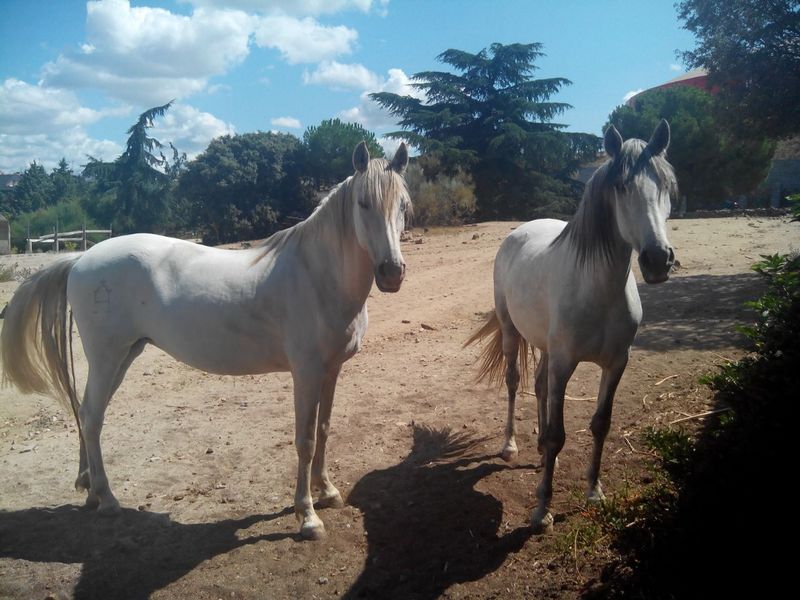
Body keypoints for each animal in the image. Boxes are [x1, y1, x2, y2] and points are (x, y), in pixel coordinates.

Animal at [0, 141, 411, 541]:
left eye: (403, 206)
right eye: (363, 203)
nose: (392, 272)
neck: (316, 275)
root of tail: (81, 258)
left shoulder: (331, 370)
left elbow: (323, 430)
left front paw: (326, 492)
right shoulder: (306, 373)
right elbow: (305, 440)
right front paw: (307, 516)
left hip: (124, 356)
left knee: (87, 415)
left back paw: (90, 492)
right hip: (106, 357)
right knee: (91, 417)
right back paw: (107, 498)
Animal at [466, 120, 677, 533]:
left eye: (664, 184)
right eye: (621, 186)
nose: (658, 259)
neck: (599, 289)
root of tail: (520, 231)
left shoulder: (616, 364)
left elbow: (600, 424)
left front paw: (594, 490)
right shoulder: (565, 364)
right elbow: (557, 434)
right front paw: (542, 509)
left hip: (547, 347)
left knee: (538, 385)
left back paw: (541, 455)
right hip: (513, 332)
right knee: (515, 383)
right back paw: (511, 445)